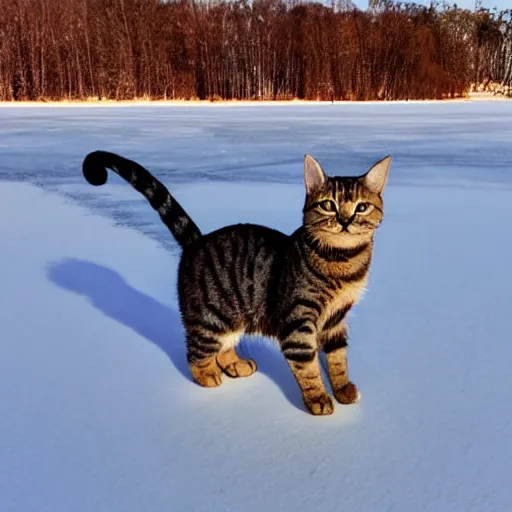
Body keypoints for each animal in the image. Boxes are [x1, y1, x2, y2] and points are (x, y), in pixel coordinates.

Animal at [82, 150, 390, 414]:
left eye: (362, 207)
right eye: (328, 205)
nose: (345, 220)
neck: (342, 263)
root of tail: (197, 241)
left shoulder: (337, 318)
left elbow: (338, 359)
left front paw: (343, 389)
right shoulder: (298, 322)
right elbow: (308, 367)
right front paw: (318, 399)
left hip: (234, 317)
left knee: (224, 346)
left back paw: (235, 365)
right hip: (210, 317)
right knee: (196, 352)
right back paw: (207, 375)